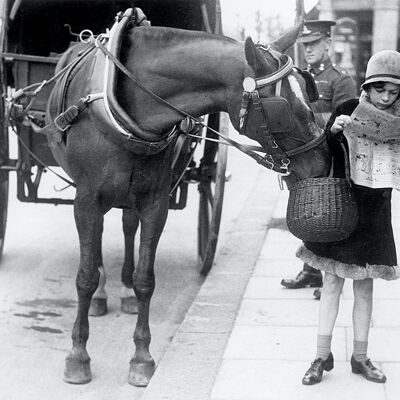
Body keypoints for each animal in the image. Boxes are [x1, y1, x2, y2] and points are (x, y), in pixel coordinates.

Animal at [43, 8, 332, 384]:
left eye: (307, 90)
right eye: (282, 105)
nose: (323, 162)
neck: (128, 104)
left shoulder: (155, 201)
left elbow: (146, 279)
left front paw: (141, 356)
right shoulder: (88, 199)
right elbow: (85, 277)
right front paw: (78, 356)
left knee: (127, 223)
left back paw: (123, 287)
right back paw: (104, 292)